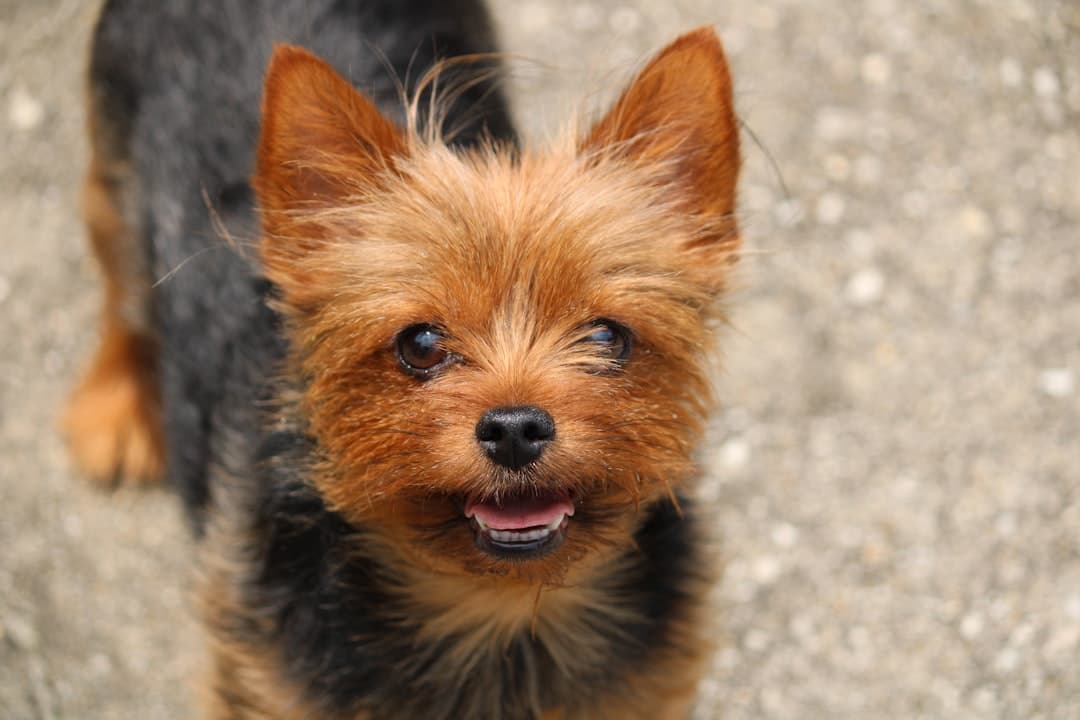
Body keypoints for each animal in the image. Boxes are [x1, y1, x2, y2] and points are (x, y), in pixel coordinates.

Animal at [65, 2, 743, 716]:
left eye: (608, 337)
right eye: (419, 344)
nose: (515, 429)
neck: (496, 612)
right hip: (111, 177)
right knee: (121, 294)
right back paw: (115, 404)